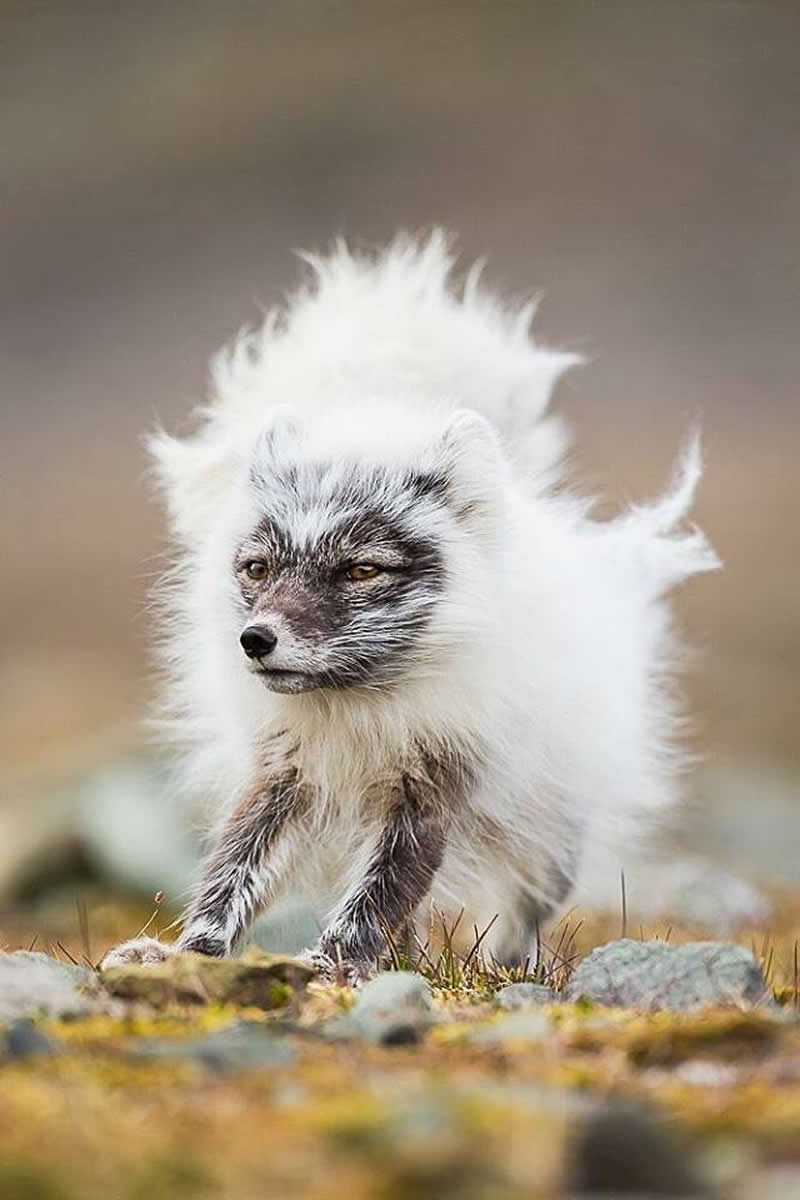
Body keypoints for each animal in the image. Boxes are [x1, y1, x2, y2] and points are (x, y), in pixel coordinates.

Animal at [101, 231, 722, 981]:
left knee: (523, 904)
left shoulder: (432, 791)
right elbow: (231, 874)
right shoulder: (284, 776)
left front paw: (329, 967)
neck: (360, 709)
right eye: (257, 568)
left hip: (548, 828)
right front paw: (187, 956)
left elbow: (376, 896)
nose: (256, 639)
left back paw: (511, 970)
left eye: (362, 569)